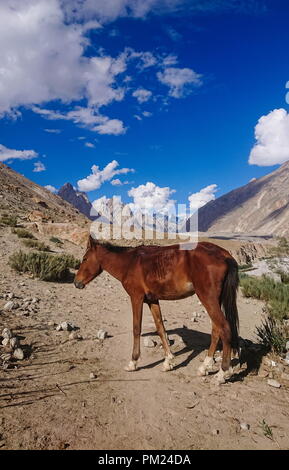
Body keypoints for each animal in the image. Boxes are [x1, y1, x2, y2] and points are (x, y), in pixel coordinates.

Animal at [74, 237, 238, 384]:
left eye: (85, 258)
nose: (76, 283)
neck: (129, 262)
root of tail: (225, 254)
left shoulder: (136, 298)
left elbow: (136, 328)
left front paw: (133, 362)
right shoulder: (152, 300)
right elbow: (160, 328)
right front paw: (168, 361)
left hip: (208, 299)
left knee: (224, 328)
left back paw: (222, 373)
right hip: (214, 301)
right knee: (216, 329)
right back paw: (205, 367)